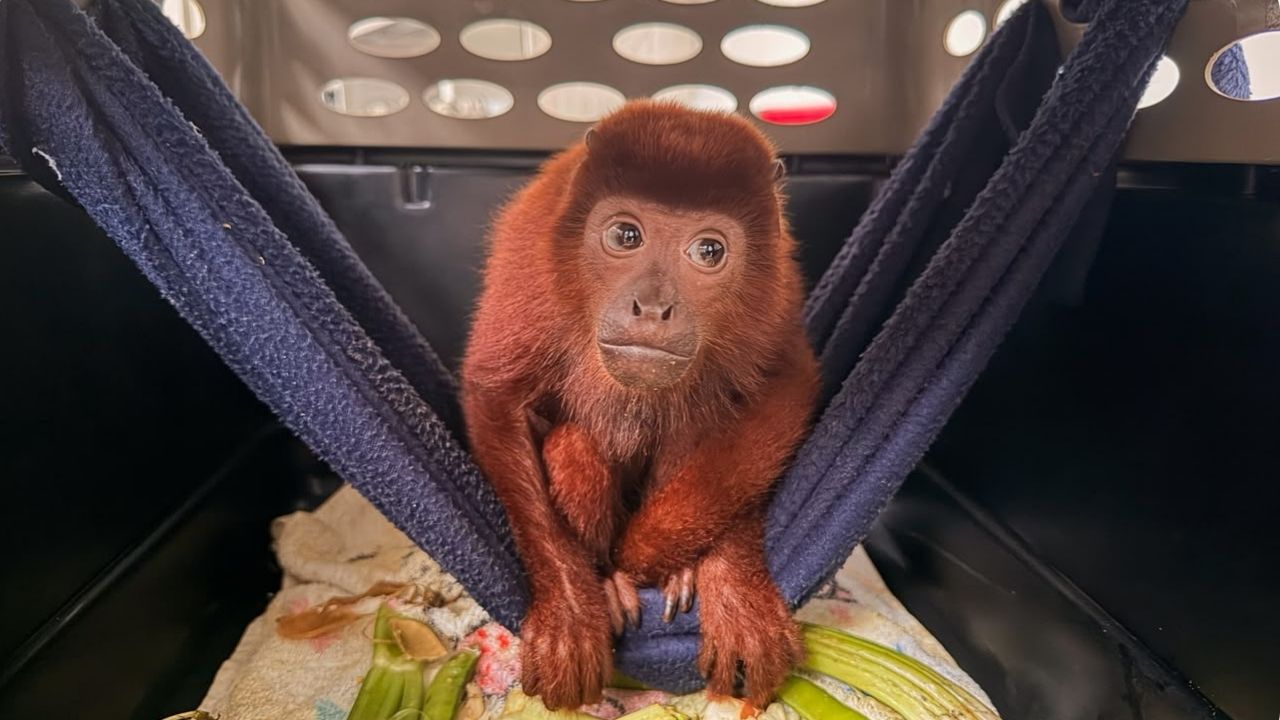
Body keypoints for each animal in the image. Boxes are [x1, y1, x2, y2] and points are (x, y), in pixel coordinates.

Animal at [460, 100, 819, 710]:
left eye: (709, 251)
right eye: (626, 235)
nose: (652, 308)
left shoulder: (776, 293)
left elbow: (779, 396)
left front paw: (734, 590)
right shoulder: (530, 270)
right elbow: (495, 394)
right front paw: (568, 612)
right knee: (572, 445)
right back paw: (607, 577)